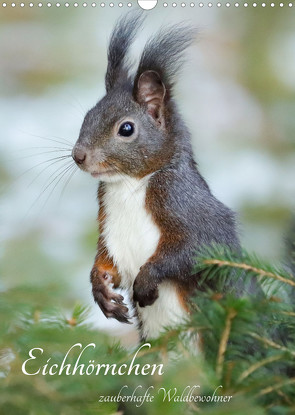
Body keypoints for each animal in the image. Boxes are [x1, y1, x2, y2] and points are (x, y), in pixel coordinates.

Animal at [71, 13, 240, 342]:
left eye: (126, 129)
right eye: (87, 117)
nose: (78, 155)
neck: (129, 184)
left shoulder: (188, 205)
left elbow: (196, 249)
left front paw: (147, 281)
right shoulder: (108, 225)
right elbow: (105, 260)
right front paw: (101, 289)